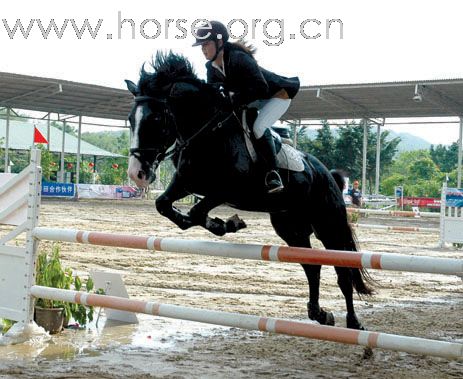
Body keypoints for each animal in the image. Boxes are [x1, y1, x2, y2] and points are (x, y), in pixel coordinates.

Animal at [126, 52, 374, 332]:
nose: (137, 173)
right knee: (312, 266)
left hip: (328, 225)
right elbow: (165, 205)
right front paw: (224, 223)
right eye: (130, 120)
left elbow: (196, 211)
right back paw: (319, 314)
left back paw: (353, 322)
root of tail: (328, 174)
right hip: (291, 227)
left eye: (156, 119)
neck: (207, 133)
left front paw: (226, 224)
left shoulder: (228, 190)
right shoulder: (186, 183)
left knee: (343, 270)